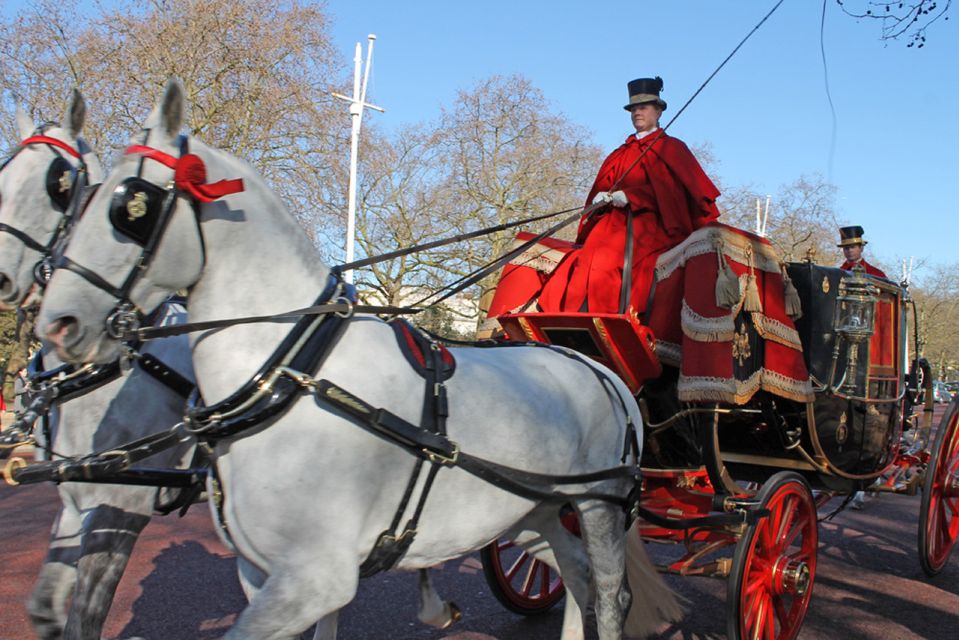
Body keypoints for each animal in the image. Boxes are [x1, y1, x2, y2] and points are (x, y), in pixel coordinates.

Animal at [0, 90, 197, 640]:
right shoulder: (73, 498)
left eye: (57, 184)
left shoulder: (120, 506)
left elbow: (84, 619)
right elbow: (46, 609)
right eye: (4, 175)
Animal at [39, 80, 684, 640]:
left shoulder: (312, 579)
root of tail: (598, 368)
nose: (58, 322)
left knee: (611, 592)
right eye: (79, 197)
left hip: (599, 504)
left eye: (133, 205)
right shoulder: (262, 573)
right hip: (533, 510)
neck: (292, 378)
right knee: (575, 577)